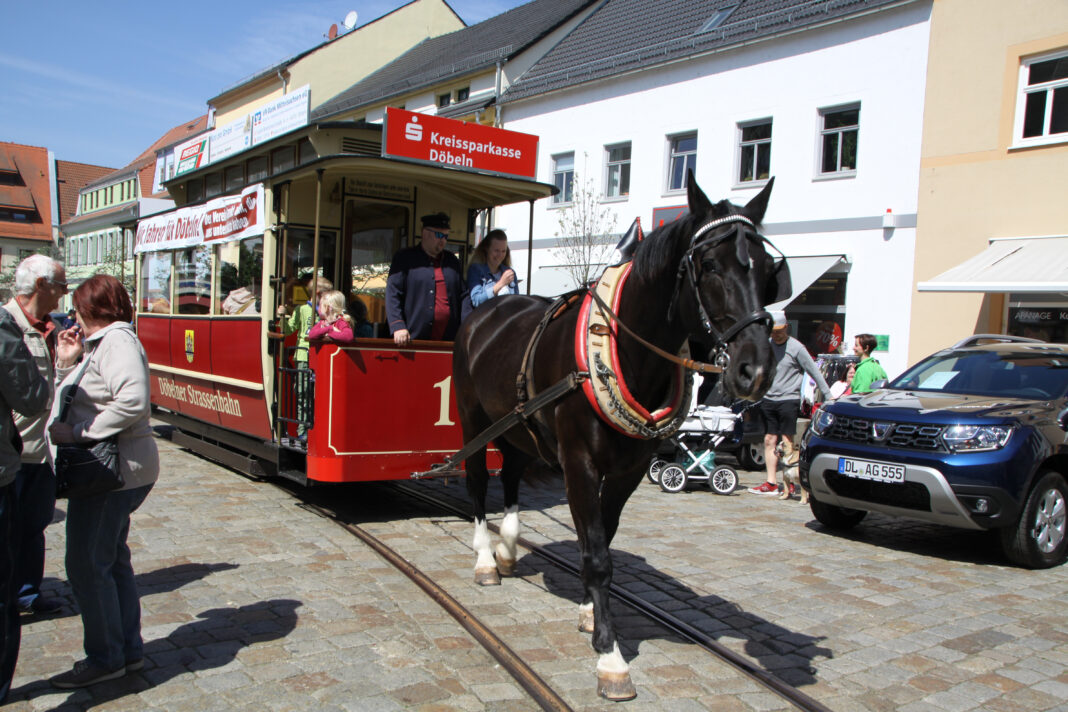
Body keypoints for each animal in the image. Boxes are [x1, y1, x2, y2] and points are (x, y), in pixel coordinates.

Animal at [448, 173, 786, 700]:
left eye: (769, 270)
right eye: (709, 264)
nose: (757, 369)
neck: (624, 350)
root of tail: (488, 311)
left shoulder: (628, 470)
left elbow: (602, 541)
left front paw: (591, 613)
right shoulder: (580, 465)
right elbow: (596, 556)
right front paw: (610, 657)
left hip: (519, 423)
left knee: (513, 475)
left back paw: (507, 549)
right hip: (474, 421)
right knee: (480, 482)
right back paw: (485, 558)